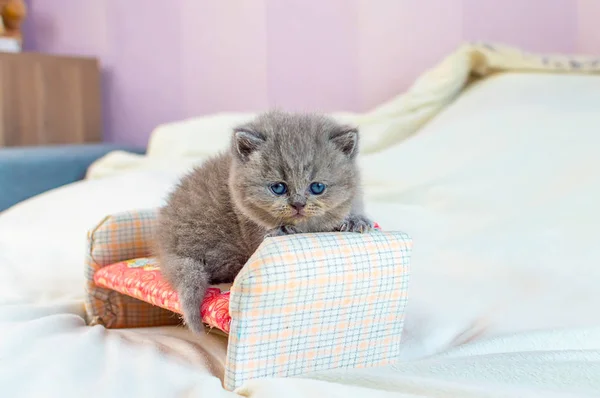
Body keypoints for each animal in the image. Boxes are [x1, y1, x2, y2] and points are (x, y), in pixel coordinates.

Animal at [155, 110, 370, 334]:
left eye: (317, 187)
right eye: (278, 188)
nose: (298, 204)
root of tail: (165, 245)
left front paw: (355, 221)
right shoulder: (252, 230)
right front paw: (284, 229)